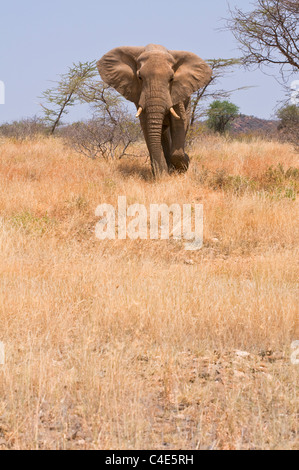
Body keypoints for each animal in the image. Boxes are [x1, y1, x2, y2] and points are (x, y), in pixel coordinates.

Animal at [97, 44, 212, 177]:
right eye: (140, 77)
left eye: (172, 78)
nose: (188, 158)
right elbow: (147, 126)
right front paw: (161, 176)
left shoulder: (177, 92)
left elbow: (179, 123)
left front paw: (184, 164)